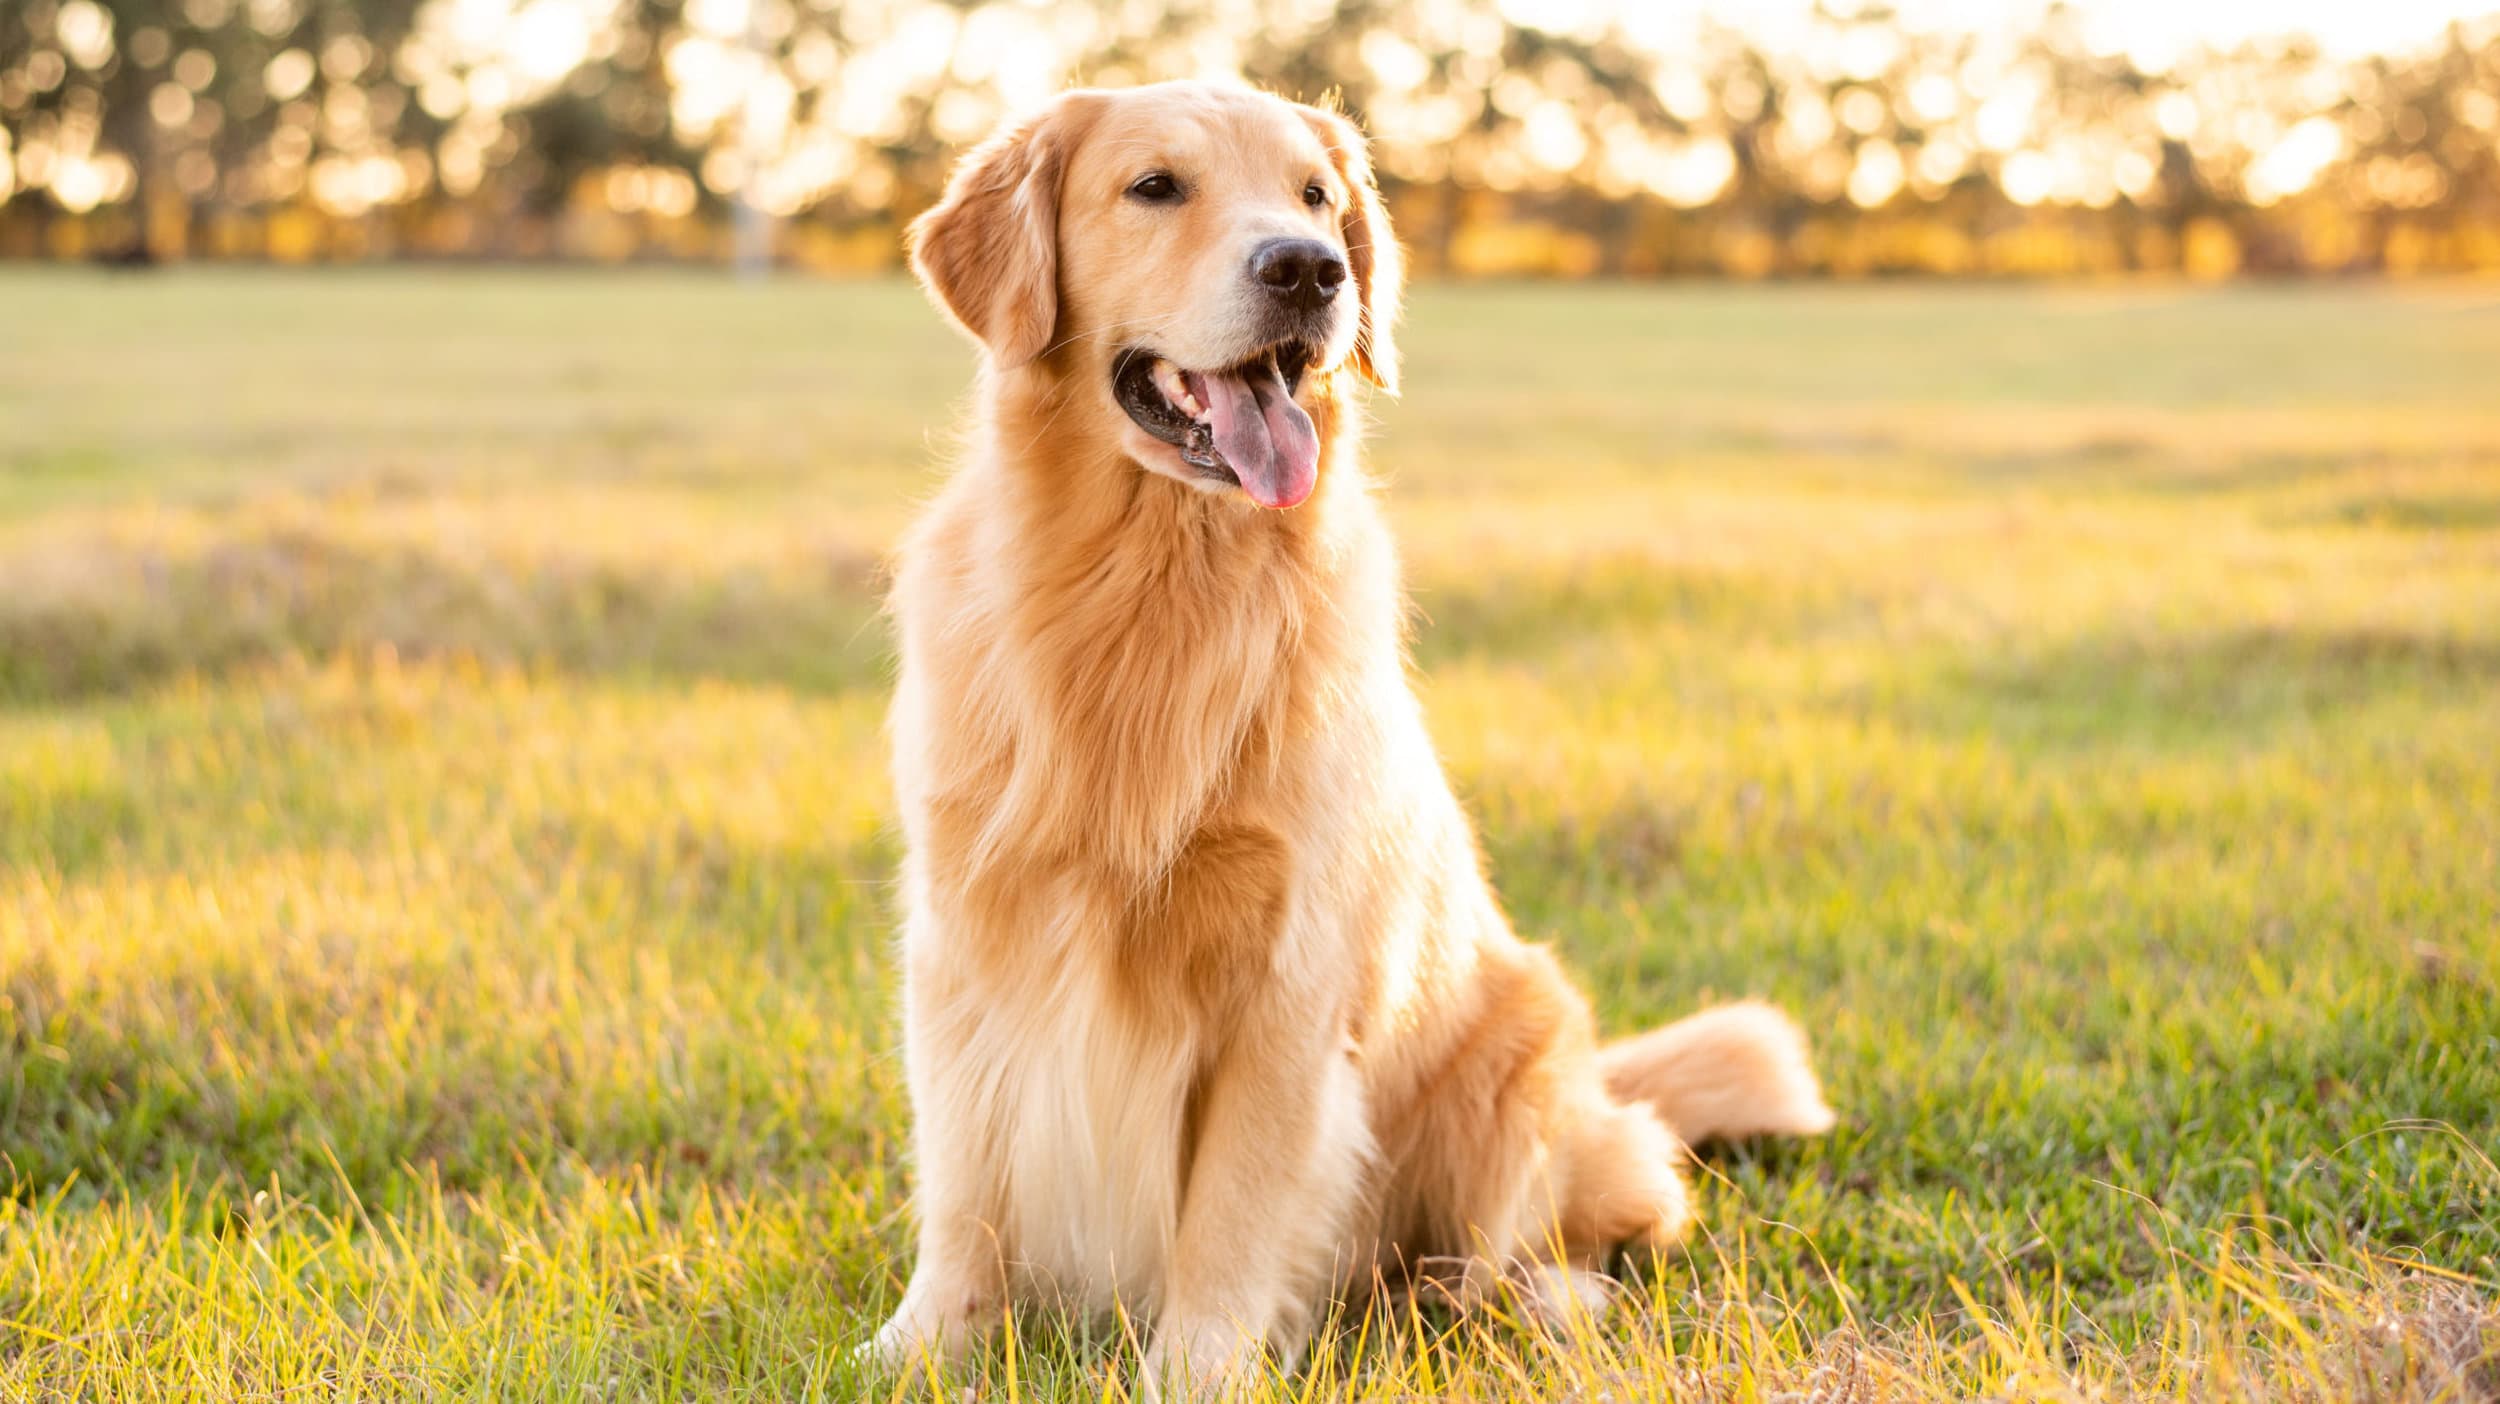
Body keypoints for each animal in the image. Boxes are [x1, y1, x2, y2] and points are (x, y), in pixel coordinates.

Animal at [870, 81, 1830, 1389]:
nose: (1308, 270)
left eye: (1316, 197)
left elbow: (1228, 1215)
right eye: (1154, 186)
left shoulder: (1287, 983)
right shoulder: (967, 943)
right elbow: (964, 1187)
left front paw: (1197, 1374)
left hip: (1521, 1054)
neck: (1152, 582)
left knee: (1591, 1225)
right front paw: (916, 1349)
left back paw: (1529, 1298)